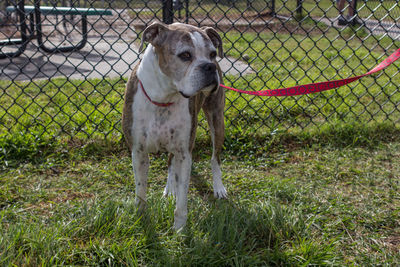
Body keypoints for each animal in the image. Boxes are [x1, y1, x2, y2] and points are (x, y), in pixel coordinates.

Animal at [122, 22, 225, 231]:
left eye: (212, 53)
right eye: (185, 55)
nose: (210, 66)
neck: (164, 97)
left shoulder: (185, 153)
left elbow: (182, 201)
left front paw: (179, 229)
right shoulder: (138, 152)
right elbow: (141, 191)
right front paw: (141, 219)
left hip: (217, 120)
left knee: (215, 158)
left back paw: (218, 187)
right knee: (170, 162)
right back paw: (170, 188)